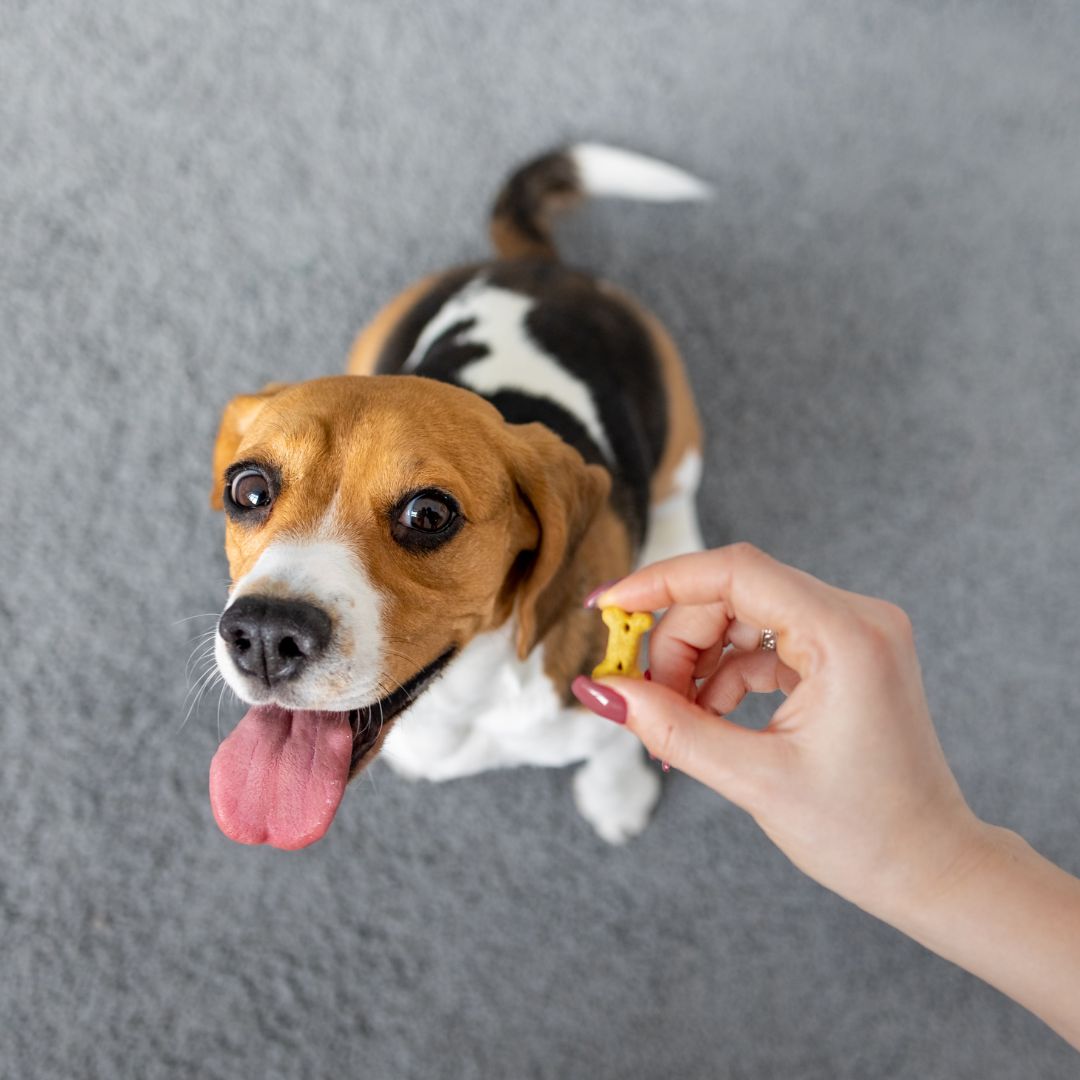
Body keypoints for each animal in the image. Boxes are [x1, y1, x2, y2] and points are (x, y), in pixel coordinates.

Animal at [210, 145, 708, 851]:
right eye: (248, 489)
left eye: (428, 514)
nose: (263, 634)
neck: (468, 694)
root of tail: (537, 265)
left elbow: (615, 744)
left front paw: (618, 797)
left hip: (680, 433)